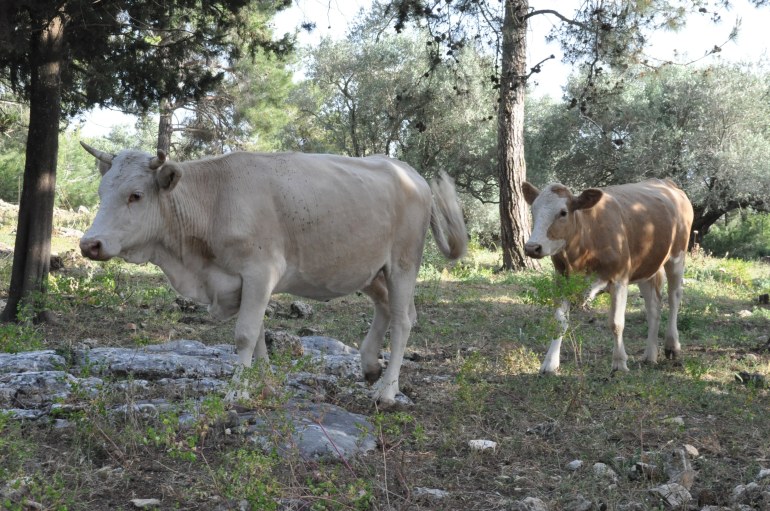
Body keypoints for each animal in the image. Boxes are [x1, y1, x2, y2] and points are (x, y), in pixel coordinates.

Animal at [78, 144, 464, 408]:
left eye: (136, 195)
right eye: (100, 192)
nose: (89, 244)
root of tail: (409, 172)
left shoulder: (261, 271)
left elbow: (245, 335)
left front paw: (236, 392)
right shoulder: (242, 282)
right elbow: (260, 336)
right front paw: (264, 386)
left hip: (403, 262)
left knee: (402, 321)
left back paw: (386, 391)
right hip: (369, 268)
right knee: (390, 309)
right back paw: (370, 366)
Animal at [520, 182, 688, 374]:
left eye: (563, 212)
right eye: (533, 209)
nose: (532, 247)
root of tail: (666, 183)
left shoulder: (619, 280)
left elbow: (616, 323)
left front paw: (620, 363)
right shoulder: (561, 280)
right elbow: (559, 322)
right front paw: (550, 363)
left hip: (677, 257)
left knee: (674, 298)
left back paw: (672, 346)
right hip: (646, 267)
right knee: (653, 307)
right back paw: (650, 355)